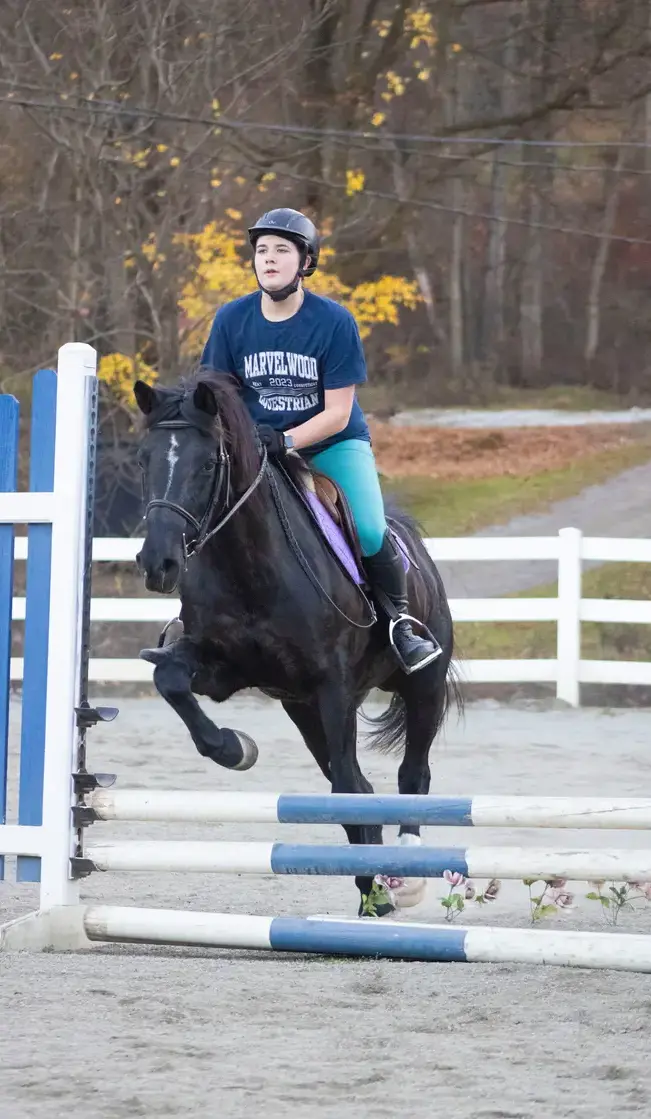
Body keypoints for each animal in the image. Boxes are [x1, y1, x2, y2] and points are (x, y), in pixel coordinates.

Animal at [133, 368, 460, 917]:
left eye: (208, 464)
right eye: (144, 460)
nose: (159, 563)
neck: (249, 563)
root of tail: (412, 542)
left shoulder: (334, 687)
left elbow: (352, 786)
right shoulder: (221, 669)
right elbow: (171, 678)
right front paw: (235, 748)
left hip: (424, 686)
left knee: (411, 774)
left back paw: (405, 874)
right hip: (301, 709)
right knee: (354, 785)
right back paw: (375, 887)